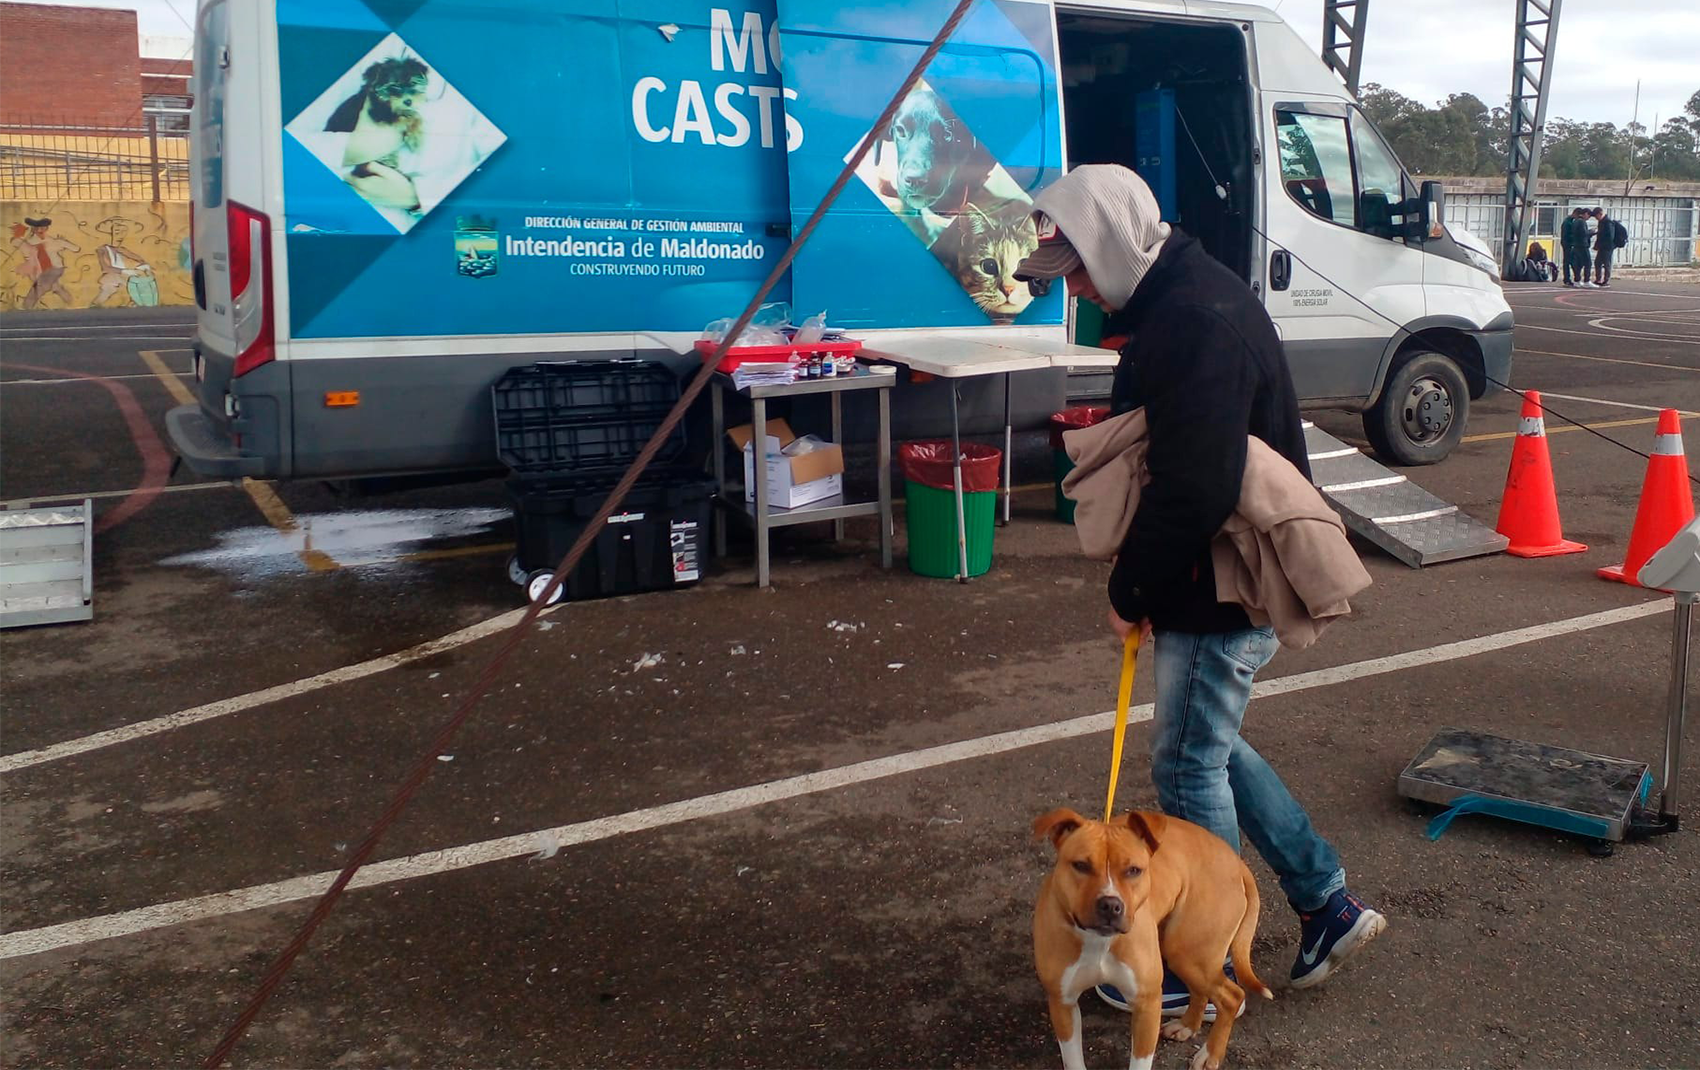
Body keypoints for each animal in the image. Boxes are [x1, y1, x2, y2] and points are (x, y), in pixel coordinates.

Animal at [1032, 809, 1272, 1070]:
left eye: (1134, 870)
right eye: (1081, 866)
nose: (1110, 904)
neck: (1098, 941)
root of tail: (1235, 861)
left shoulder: (1147, 1004)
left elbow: (1140, 1061)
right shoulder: (1062, 1002)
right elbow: (1073, 1058)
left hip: (1190, 953)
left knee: (1232, 997)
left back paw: (1210, 1054)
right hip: (1182, 951)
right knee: (1201, 991)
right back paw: (1187, 1025)